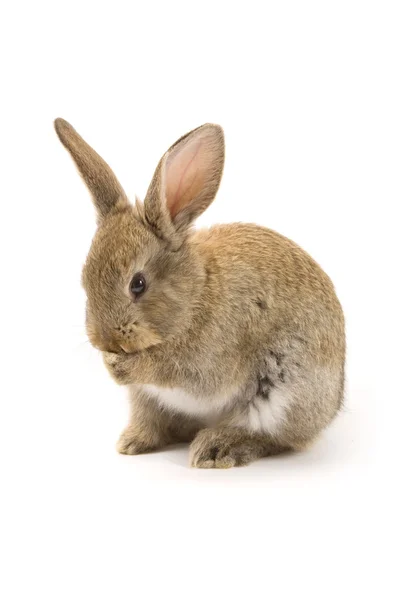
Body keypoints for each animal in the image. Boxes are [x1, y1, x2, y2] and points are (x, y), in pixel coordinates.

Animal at [54, 118, 346, 468]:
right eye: (84, 281)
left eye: (138, 284)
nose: (105, 341)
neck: (194, 298)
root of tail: (332, 404)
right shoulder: (145, 394)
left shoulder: (208, 362)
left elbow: (177, 374)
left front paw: (119, 366)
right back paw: (137, 441)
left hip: (282, 391)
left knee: (274, 437)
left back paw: (217, 447)